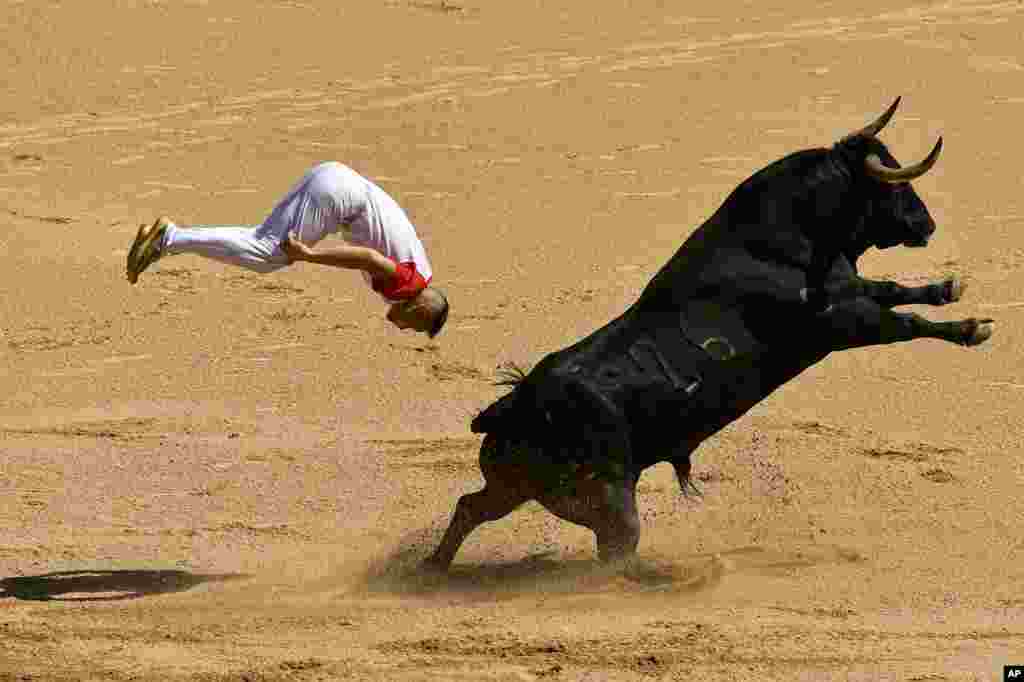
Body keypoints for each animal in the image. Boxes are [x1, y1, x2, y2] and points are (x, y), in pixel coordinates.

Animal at [424, 98, 994, 571]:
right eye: (891, 182)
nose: (926, 224)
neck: (778, 236)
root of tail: (516, 404)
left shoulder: (851, 292)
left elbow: (892, 288)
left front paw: (948, 287)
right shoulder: (838, 324)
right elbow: (904, 322)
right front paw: (970, 329)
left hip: (515, 486)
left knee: (471, 506)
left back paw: (433, 568)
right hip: (608, 497)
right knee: (613, 551)